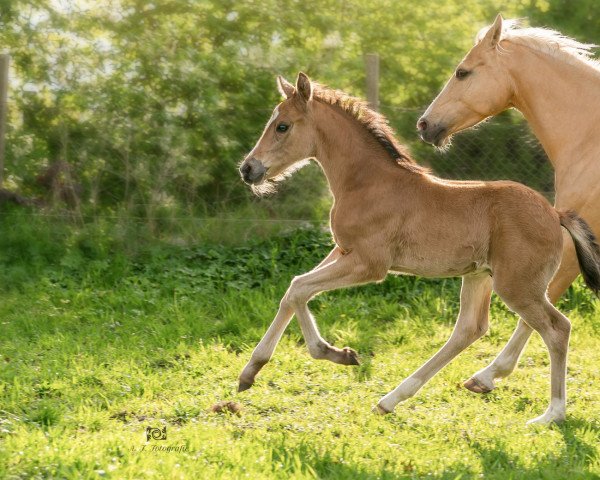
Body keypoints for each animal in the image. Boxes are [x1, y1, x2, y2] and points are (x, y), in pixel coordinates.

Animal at [237, 72, 596, 424]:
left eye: (283, 126)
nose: (248, 169)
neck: (367, 183)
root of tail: (555, 213)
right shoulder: (342, 252)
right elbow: (293, 290)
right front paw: (250, 372)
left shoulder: (369, 264)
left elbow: (299, 288)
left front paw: (334, 353)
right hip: (480, 276)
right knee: (470, 328)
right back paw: (392, 400)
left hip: (517, 285)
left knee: (557, 329)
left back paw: (552, 414)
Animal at [418, 15, 600, 398]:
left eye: (462, 72)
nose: (424, 125)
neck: (592, 138)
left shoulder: (572, 242)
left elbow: (545, 302)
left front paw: (489, 375)